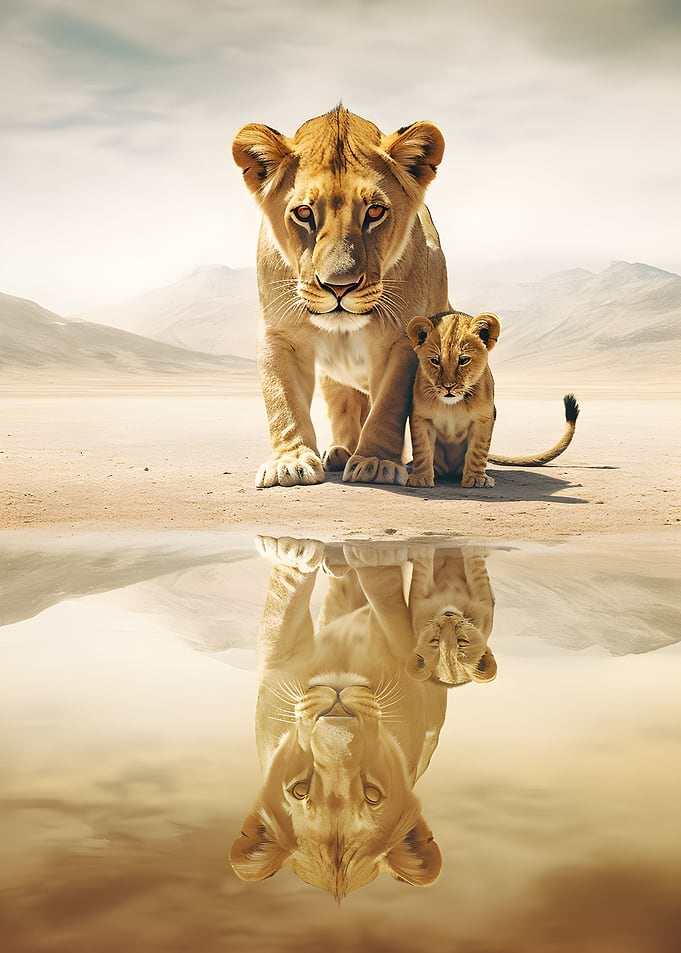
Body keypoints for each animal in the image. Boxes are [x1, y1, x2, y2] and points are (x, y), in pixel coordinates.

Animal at [230, 537, 497, 898]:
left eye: (371, 794)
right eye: (300, 790)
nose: (337, 719)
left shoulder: (402, 643)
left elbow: (385, 594)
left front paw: (373, 555)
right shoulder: (281, 660)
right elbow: (283, 602)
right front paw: (294, 551)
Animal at [232, 105, 449, 488]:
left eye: (374, 212)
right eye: (304, 212)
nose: (338, 286)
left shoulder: (401, 341)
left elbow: (389, 407)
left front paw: (376, 462)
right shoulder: (279, 333)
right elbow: (282, 399)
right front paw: (290, 462)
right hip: (335, 379)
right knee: (345, 404)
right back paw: (339, 452)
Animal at [406, 311, 580, 488]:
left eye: (463, 360)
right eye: (435, 361)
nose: (448, 386)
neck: (452, 405)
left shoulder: (483, 418)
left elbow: (477, 450)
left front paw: (476, 479)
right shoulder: (421, 417)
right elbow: (422, 449)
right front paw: (420, 478)